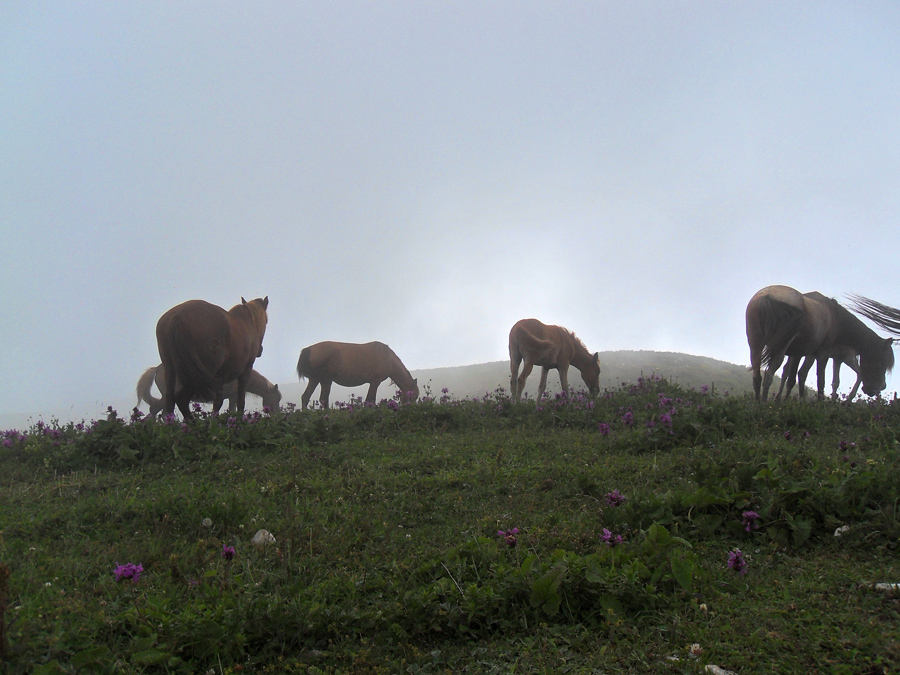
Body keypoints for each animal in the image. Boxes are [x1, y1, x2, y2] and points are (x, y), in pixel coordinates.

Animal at [744, 286, 892, 402]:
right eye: (882, 362)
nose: (882, 386)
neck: (835, 318)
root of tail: (766, 297)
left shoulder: (804, 353)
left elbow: (797, 376)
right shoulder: (823, 354)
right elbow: (820, 380)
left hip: (756, 345)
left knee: (757, 377)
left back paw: (759, 404)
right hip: (779, 349)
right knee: (769, 375)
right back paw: (765, 404)